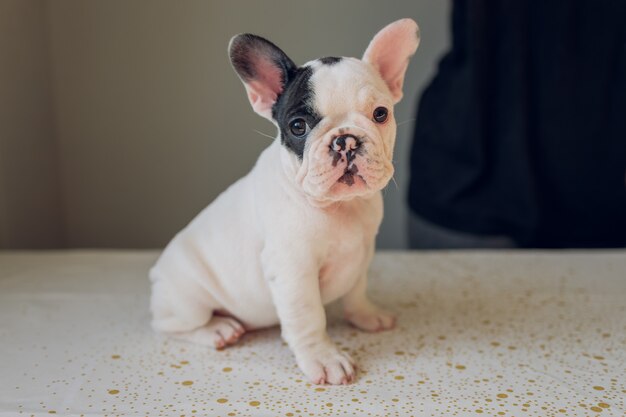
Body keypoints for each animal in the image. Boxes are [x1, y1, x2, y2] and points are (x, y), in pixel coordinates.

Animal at [148, 18, 416, 384]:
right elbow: (309, 317)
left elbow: (357, 290)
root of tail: (156, 277)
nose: (345, 141)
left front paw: (366, 315)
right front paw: (324, 358)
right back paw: (217, 329)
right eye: (298, 126)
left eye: (380, 113)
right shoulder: (293, 269)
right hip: (187, 299)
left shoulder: (361, 253)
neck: (339, 206)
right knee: (170, 324)